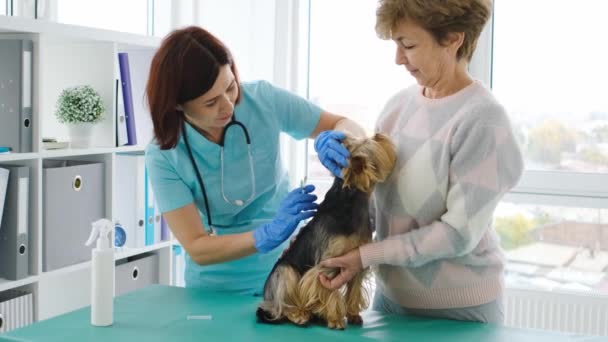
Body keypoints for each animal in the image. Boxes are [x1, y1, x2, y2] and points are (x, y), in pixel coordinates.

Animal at [255, 133, 394, 328]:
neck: (350, 201)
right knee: (282, 305)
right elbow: (328, 291)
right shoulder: (326, 265)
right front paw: (335, 319)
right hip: (284, 274)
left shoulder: (356, 260)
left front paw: (353, 314)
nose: (380, 134)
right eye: (372, 141)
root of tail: (267, 295)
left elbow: (354, 288)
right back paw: (299, 314)